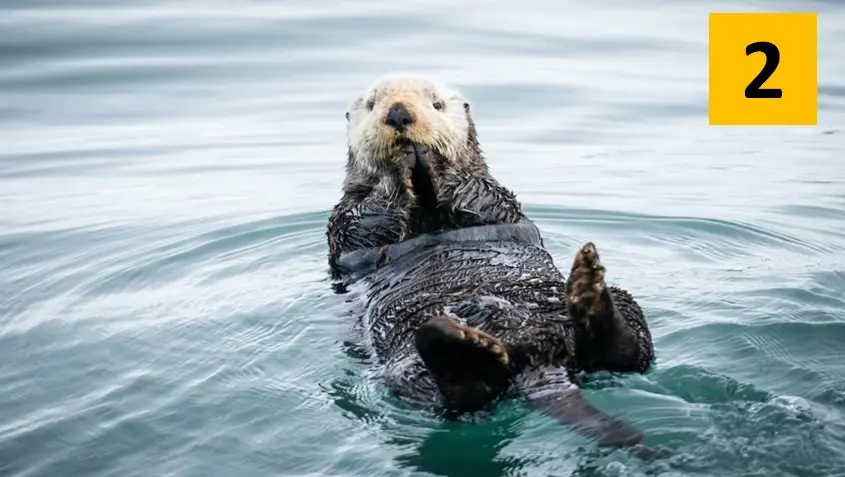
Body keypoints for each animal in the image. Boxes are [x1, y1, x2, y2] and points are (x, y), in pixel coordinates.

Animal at [326, 74, 657, 453]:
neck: (426, 207)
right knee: (460, 397)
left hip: (622, 309)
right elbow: (365, 218)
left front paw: (436, 160)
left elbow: (477, 193)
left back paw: (587, 287)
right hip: (406, 367)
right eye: (371, 105)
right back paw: (461, 344)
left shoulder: (496, 200)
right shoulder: (345, 224)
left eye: (437, 104)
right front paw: (396, 167)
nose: (398, 114)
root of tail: (536, 357)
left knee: (628, 353)